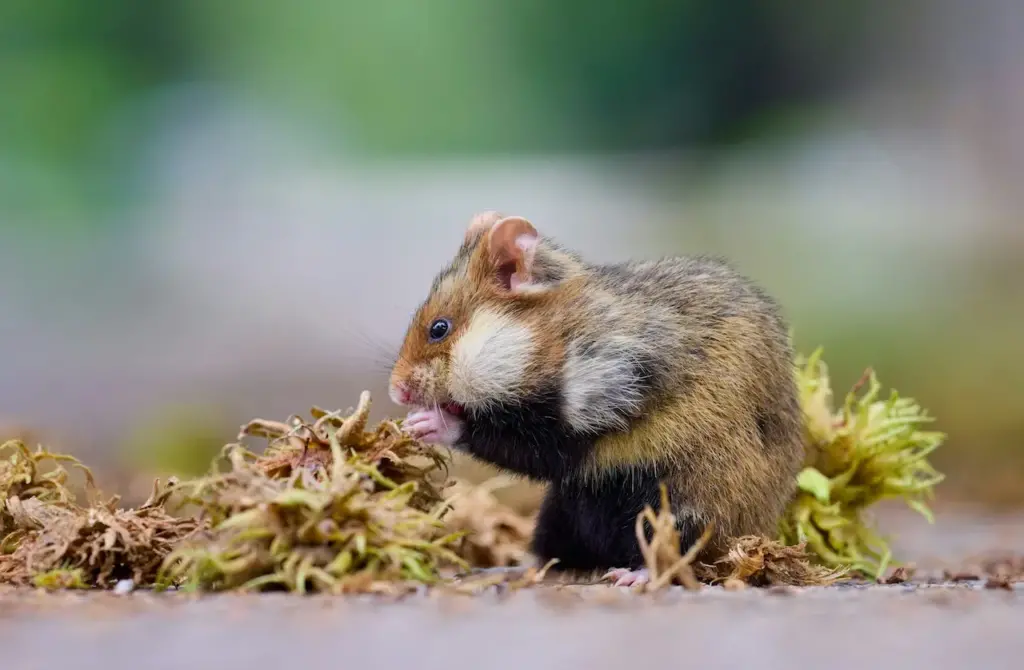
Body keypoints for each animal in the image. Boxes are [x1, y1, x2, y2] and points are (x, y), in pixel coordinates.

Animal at [387, 213, 802, 585]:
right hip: (559, 509)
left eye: (439, 328)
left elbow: (514, 439)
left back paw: (632, 576)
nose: (396, 391)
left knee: (670, 554)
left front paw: (427, 422)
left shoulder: (603, 401)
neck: (553, 334)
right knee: (549, 553)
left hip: (680, 504)